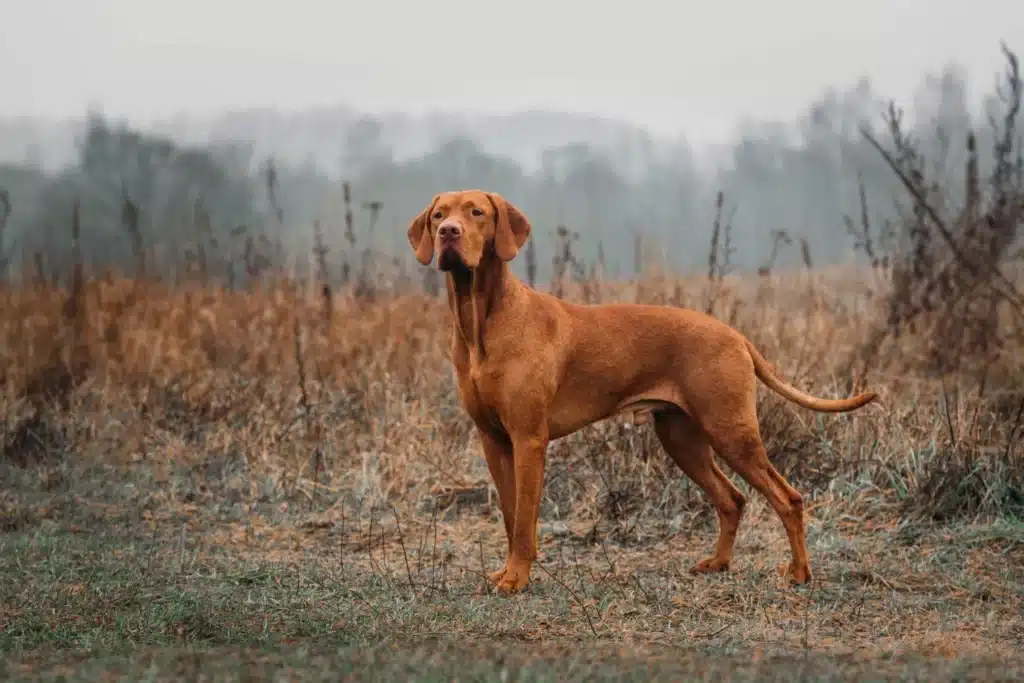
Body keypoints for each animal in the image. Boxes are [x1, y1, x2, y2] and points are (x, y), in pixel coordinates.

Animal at [407, 189, 880, 593]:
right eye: (439, 216)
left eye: (476, 212)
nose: (449, 233)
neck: (481, 320)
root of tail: (736, 335)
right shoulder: (494, 441)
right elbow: (510, 518)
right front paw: (508, 572)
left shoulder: (529, 440)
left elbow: (523, 522)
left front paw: (517, 579)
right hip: (681, 437)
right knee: (732, 499)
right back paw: (719, 563)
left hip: (731, 432)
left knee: (788, 498)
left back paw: (799, 573)